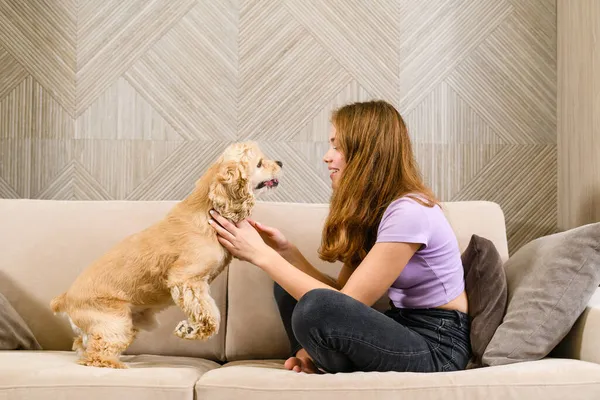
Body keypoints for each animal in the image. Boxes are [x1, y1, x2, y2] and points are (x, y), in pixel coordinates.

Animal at [48, 141, 282, 368]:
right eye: (260, 163)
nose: (280, 162)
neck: (206, 209)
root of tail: (65, 298)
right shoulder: (187, 280)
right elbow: (209, 315)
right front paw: (191, 330)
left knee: (82, 344)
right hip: (114, 322)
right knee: (95, 354)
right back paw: (116, 365)